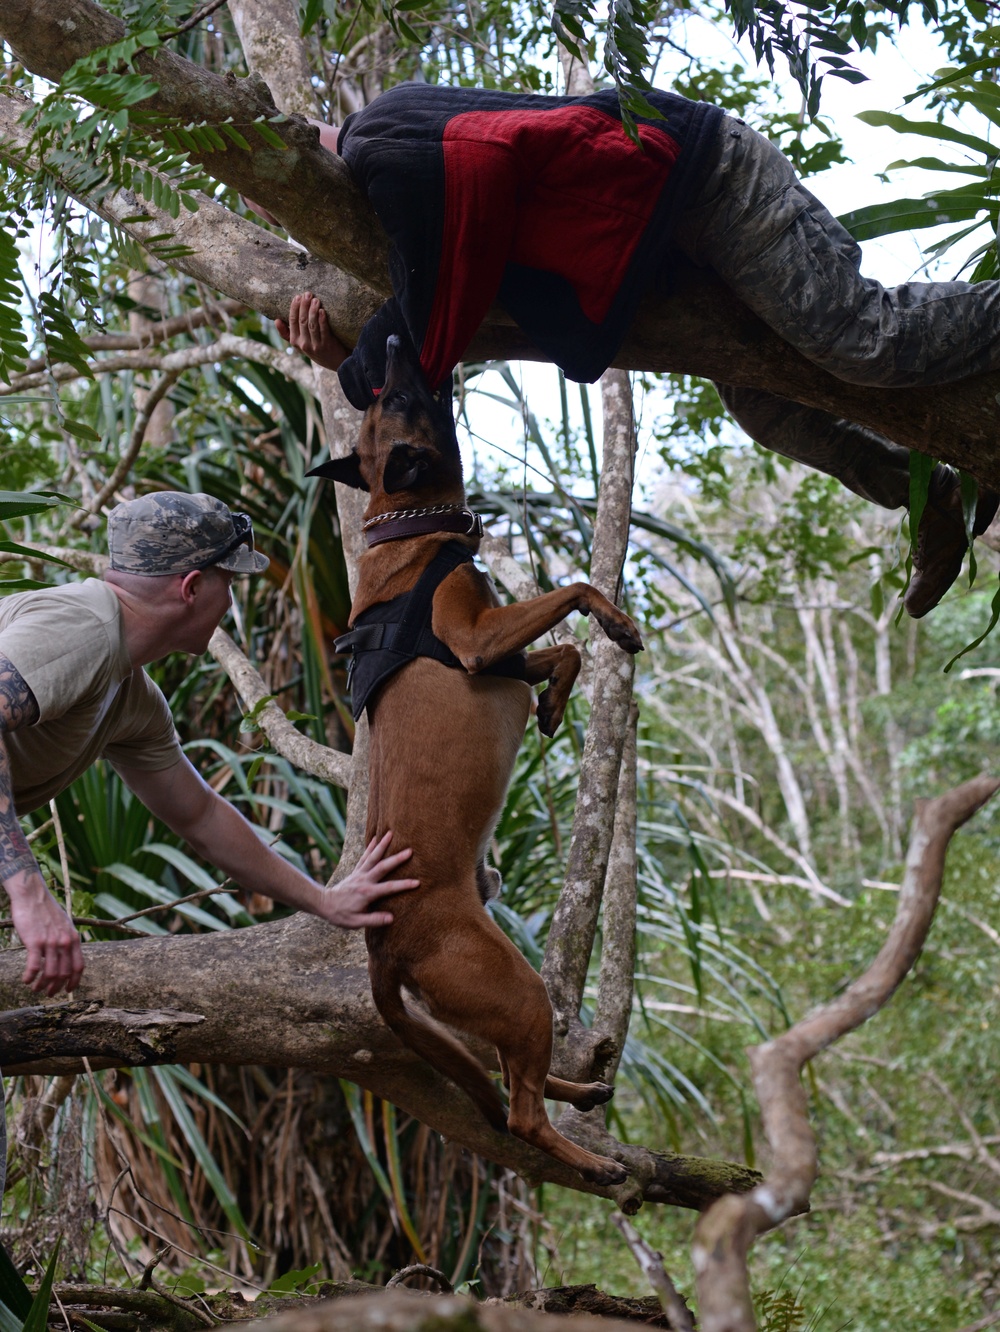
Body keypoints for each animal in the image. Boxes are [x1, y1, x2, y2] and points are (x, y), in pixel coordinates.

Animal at [308, 335, 644, 1188]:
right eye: (401, 399)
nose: (395, 342)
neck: (406, 530)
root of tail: (383, 947)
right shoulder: (472, 640)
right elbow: (576, 591)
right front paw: (618, 625)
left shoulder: (499, 655)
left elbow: (557, 653)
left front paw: (555, 701)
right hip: (512, 989)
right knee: (518, 1112)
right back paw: (587, 1160)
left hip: (483, 1010)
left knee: (508, 1073)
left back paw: (577, 1090)